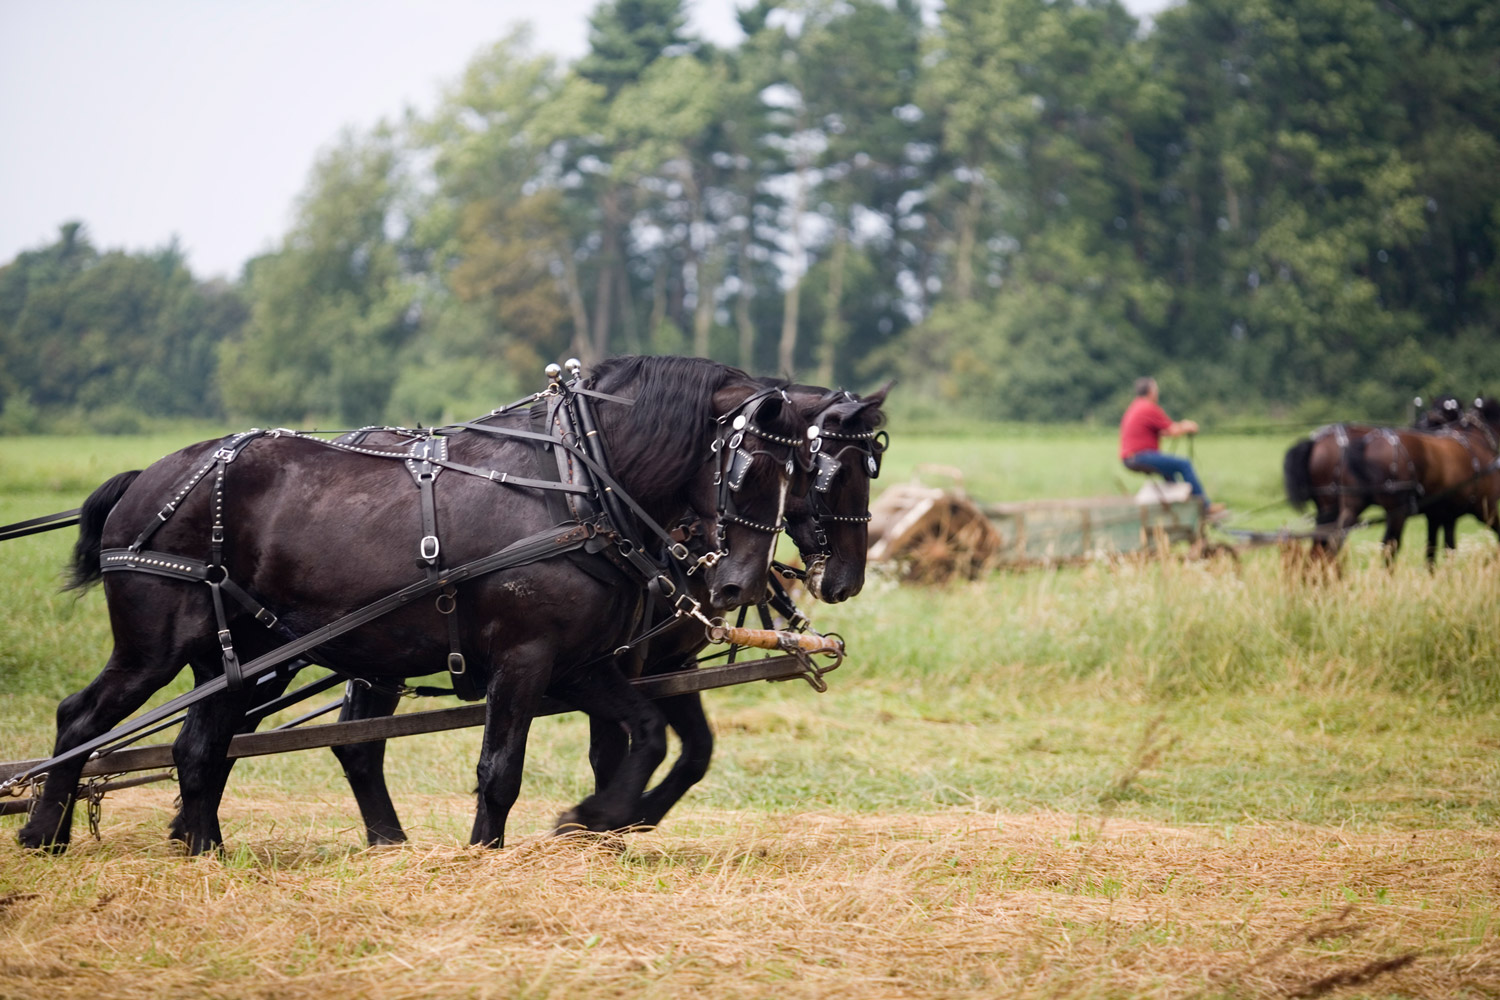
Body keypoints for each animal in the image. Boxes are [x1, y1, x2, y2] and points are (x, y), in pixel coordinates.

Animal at [19, 356, 809, 854]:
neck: (576, 483)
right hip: (155, 648)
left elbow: (644, 733)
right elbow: (501, 769)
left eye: (798, 472)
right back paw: (43, 832)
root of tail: (145, 478)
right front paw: (490, 850)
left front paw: (597, 818)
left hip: (238, 658)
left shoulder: (583, 664)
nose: (739, 585)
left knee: (198, 745)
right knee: (82, 718)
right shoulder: (526, 658)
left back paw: (205, 848)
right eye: (746, 467)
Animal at [312, 382, 889, 846]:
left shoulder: (662, 663)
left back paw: (389, 844)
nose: (847, 581)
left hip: (380, 657)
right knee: (359, 744)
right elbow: (617, 748)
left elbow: (693, 749)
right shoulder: (618, 662)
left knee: (359, 746)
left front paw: (624, 820)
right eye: (829, 474)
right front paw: (601, 823)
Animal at [1336, 399, 1500, 564]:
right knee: (1389, 547)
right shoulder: (1485, 507)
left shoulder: (1441, 515)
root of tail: (1366, 444)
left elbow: (1437, 550)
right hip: (1397, 512)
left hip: (1354, 504)